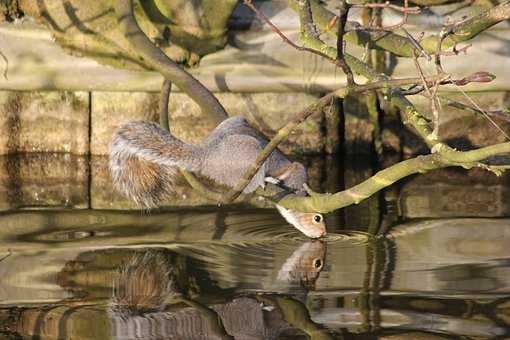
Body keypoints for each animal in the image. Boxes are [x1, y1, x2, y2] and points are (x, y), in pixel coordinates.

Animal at [108, 115, 326, 238]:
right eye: (317, 218)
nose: (324, 234)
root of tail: (208, 155)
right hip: (248, 154)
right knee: (251, 182)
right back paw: (264, 180)